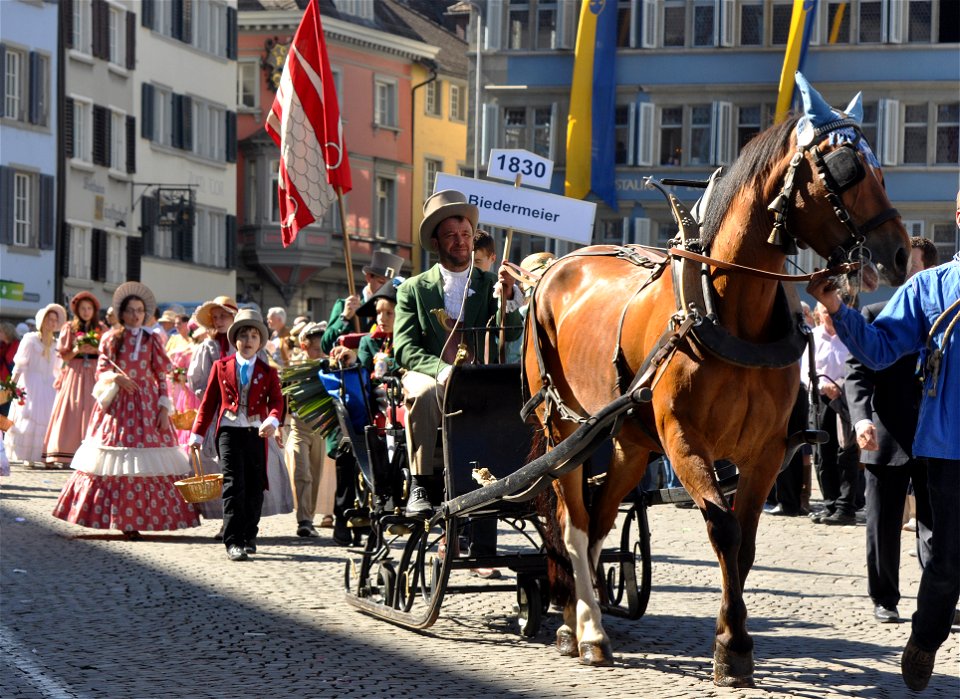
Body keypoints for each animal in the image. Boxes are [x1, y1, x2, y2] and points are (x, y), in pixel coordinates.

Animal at [524, 74, 908, 688]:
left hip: (629, 439)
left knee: (600, 517)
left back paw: (571, 619)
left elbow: (744, 544)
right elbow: (723, 531)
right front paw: (731, 648)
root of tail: (551, 268)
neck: (728, 310)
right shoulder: (686, 443)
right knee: (574, 520)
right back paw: (588, 631)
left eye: (880, 167)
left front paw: (735, 641)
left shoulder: (766, 451)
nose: (899, 253)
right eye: (846, 168)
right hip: (564, 428)